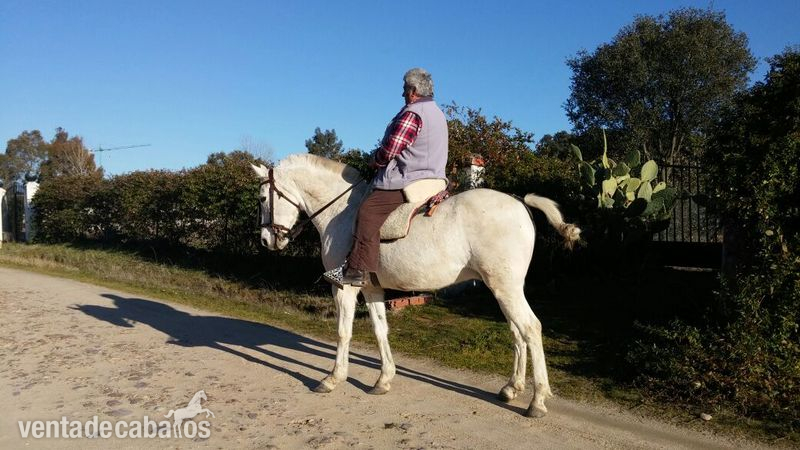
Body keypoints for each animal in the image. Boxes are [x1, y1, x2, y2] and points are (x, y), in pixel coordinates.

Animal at [252, 154, 580, 418]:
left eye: (263, 199)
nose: (267, 240)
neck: (341, 213)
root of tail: (519, 202)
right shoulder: (370, 288)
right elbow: (380, 329)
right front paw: (383, 380)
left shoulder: (344, 288)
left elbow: (343, 332)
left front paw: (332, 379)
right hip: (503, 288)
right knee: (516, 332)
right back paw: (512, 388)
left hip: (505, 288)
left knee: (530, 329)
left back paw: (537, 401)